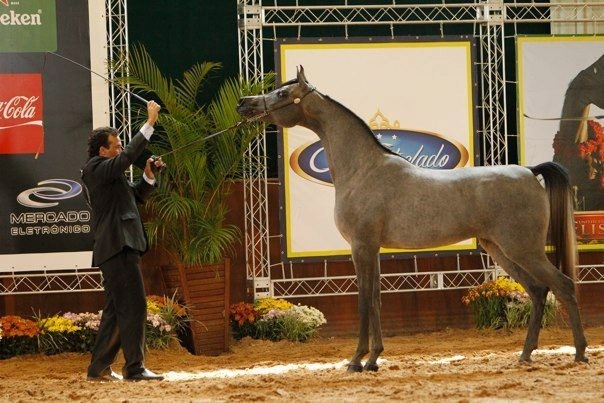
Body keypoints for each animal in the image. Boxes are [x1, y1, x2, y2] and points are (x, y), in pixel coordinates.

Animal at [236, 66, 588, 372]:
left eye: (283, 93)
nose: (244, 103)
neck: (363, 170)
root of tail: (529, 172)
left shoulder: (362, 246)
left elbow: (364, 301)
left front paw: (356, 361)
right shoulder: (372, 249)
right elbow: (376, 299)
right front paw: (374, 359)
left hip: (523, 249)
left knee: (563, 285)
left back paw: (580, 353)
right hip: (501, 250)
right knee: (539, 291)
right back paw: (526, 354)